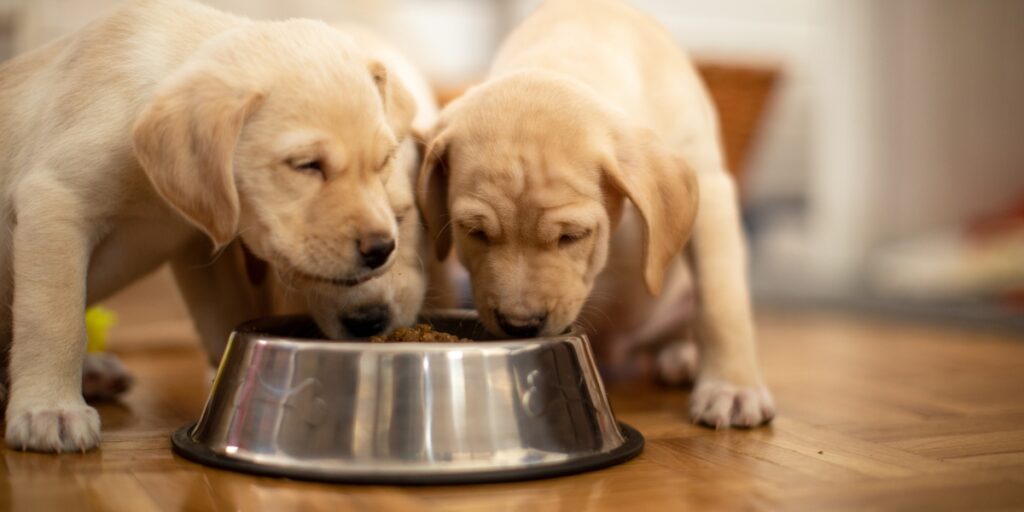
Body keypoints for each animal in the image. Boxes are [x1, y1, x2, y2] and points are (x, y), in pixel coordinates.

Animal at [2, 0, 415, 450]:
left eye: (383, 162)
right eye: (307, 165)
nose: (381, 249)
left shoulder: (200, 245)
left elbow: (224, 315)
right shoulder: (56, 202)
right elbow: (55, 320)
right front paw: (49, 409)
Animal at [419, 0, 770, 425]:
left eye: (572, 236)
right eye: (475, 232)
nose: (520, 325)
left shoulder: (708, 183)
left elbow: (721, 302)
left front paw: (732, 387)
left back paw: (681, 355)